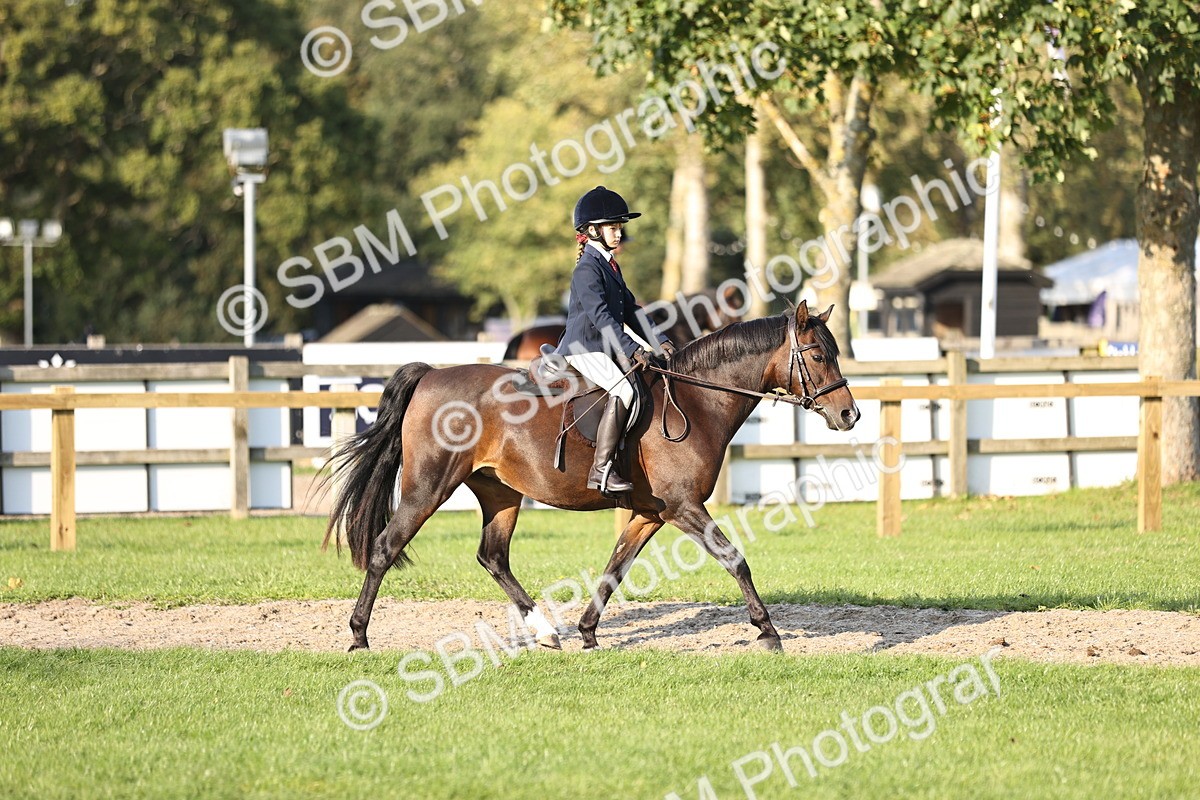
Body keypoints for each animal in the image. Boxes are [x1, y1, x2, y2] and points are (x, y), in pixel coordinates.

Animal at [324, 301, 859, 652]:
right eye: (817, 355)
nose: (849, 414)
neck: (696, 400)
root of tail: (432, 374)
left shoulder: (650, 513)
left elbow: (614, 570)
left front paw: (587, 633)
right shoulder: (684, 507)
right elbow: (735, 560)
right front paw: (768, 632)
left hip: (500, 493)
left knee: (493, 557)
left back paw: (546, 633)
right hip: (427, 488)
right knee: (385, 548)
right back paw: (359, 636)